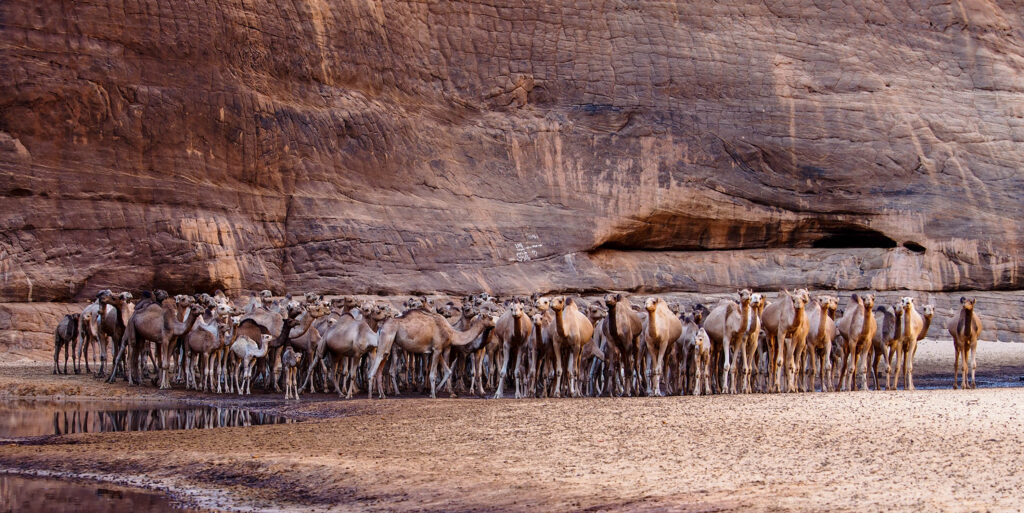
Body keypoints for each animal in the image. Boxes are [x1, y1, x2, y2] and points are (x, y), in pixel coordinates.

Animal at [366, 305, 497, 397]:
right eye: (489, 317)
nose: (495, 324)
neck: (452, 332)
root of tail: (381, 327)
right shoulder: (438, 348)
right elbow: (433, 373)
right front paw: (433, 394)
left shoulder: (439, 349)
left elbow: (448, 371)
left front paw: (446, 392)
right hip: (387, 338)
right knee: (376, 366)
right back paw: (372, 395)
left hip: (390, 345)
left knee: (384, 365)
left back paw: (383, 395)